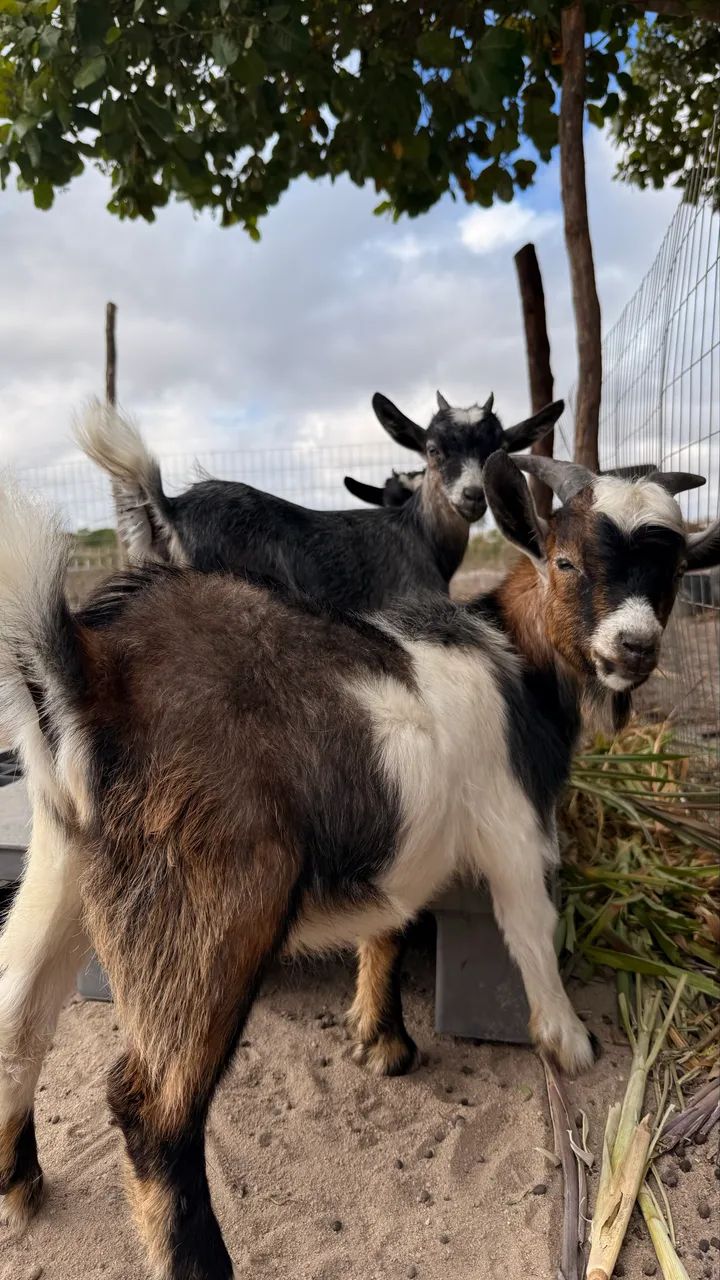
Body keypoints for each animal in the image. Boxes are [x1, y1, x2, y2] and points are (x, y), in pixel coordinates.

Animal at [1, 456, 717, 1279]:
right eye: (565, 560)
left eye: (673, 573)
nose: (635, 646)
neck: (516, 661)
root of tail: (90, 670)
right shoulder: (515, 825)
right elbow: (532, 928)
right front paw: (568, 1042)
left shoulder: (411, 838)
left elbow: (392, 923)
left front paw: (382, 1039)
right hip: (209, 898)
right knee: (152, 1104)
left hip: (62, 860)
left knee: (18, 1018)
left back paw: (18, 1184)